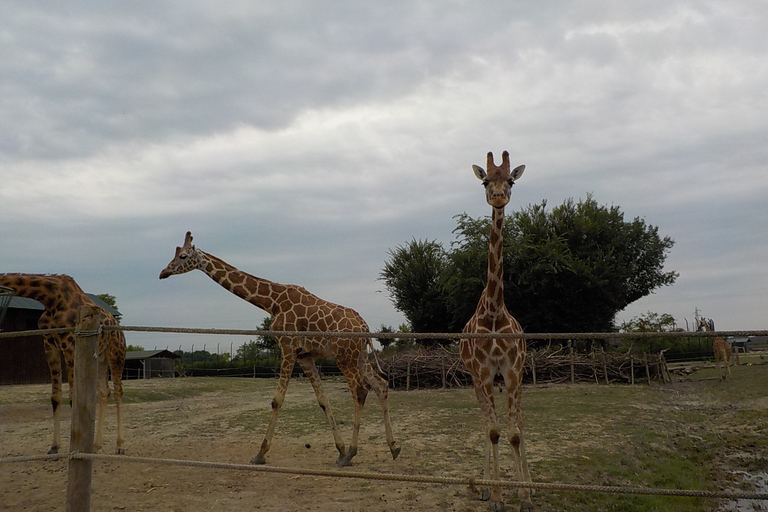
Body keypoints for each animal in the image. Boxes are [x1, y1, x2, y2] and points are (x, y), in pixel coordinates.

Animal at [0, 274, 127, 454]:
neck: (51, 297)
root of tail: (120, 329)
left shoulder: (69, 344)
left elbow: (73, 399)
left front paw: (74, 448)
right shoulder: (50, 344)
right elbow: (55, 397)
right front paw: (54, 446)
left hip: (116, 354)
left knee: (118, 392)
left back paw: (120, 446)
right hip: (100, 358)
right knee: (104, 392)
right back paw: (96, 445)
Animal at [158, 234, 400, 466]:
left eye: (183, 256)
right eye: (175, 253)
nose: (163, 272)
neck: (272, 302)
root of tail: (365, 327)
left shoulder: (288, 346)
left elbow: (277, 400)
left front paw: (260, 453)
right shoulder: (304, 355)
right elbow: (323, 400)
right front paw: (339, 450)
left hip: (344, 358)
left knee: (360, 391)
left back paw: (352, 453)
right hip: (359, 356)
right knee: (381, 385)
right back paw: (393, 447)